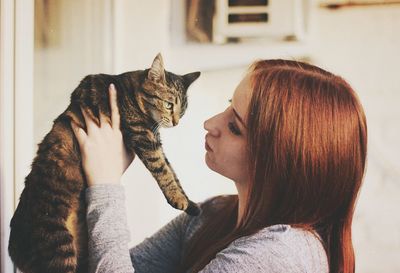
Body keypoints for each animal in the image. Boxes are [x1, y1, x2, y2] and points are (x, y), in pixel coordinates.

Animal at [9, 53, 202, 272]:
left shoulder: (154, 140)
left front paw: (191, 204)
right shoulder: (144, 138)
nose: (176, 122)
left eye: (183, 111)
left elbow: (173, 172)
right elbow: (164, 171)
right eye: (169, 105)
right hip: (59, 248)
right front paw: (179, 199)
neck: (130, 91)